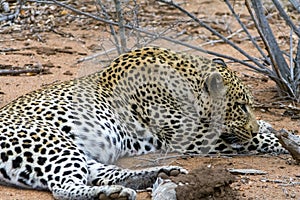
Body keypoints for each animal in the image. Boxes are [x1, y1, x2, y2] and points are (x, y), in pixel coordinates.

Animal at [0, 46, 286, 198]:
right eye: (240, 106)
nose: (252, 128)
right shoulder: (192, 136)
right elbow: (252, 140)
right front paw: (275, 137)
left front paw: (266, 126)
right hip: (53, 142)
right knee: (64, 187)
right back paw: (110, 194)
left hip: (76, 152)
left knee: (99, 173)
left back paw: (159, 175)